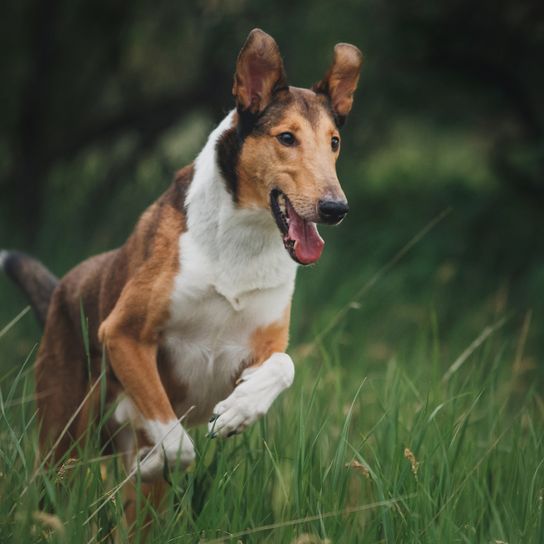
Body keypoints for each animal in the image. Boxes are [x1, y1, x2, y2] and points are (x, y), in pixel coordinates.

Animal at [4, 28, 364, 516]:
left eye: (334, 142)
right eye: (286, 137)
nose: (335, 209)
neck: (242, 242)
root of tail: (61, 289)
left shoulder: (256, 350)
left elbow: (284, 366)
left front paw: (238, 412)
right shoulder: (124, 335)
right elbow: (178, 446)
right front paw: (153, 457)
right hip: (61, 440)